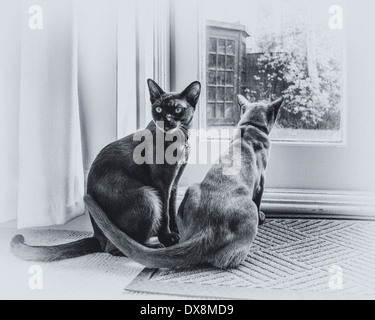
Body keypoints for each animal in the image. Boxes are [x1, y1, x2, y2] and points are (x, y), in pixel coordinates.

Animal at [10, 79, 201, 262]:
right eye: (159, 109)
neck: (178, 141)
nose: (166, 121)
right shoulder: (161, 184)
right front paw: (167, 238)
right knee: (118, 247)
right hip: (148, 197)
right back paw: (153, 248)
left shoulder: (173, 183)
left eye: (177, 109)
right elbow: (166, 215)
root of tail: (98, 236)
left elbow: (171, 208)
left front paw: (177, 233)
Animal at [83, 95, 282, 270]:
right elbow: (259, 201)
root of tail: (205, 233)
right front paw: (263, 217)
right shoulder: (261, 181)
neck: (250, 127)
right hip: (151, 198)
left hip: (190, 189)